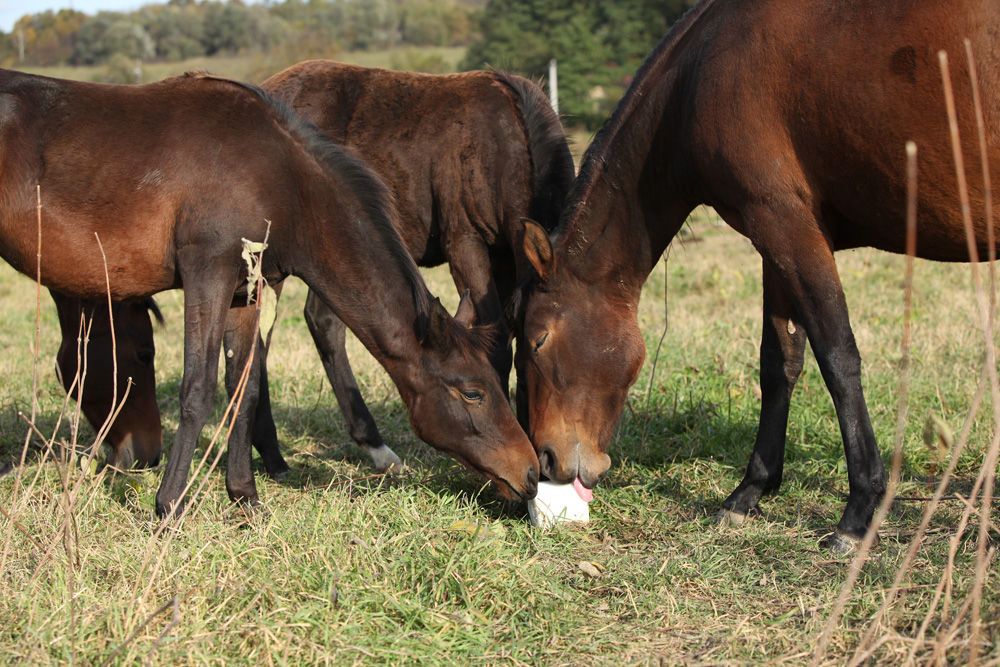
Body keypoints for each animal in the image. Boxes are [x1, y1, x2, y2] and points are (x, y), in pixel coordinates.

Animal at [254, 62, 576, 470]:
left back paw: (375, 447)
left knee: (322, 322)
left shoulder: (506, 262)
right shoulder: (466, 244)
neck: (508, 142)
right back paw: (272, 451)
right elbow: (497, 347)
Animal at [516, 0, 1000, 552]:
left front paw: (859, 509)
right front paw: (750, 491)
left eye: (537, 341)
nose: (546, 461)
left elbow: (838, 359)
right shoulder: (776, 241)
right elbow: (779, 363)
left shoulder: (787, 225)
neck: (701, 71)